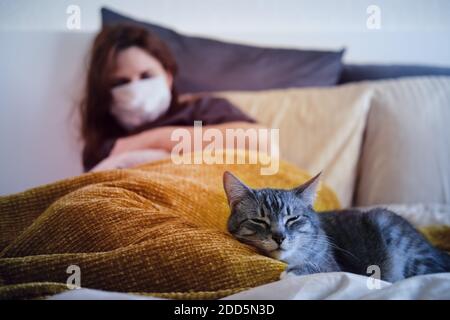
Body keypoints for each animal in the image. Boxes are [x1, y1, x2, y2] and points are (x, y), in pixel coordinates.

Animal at [222, 171, 450, 282]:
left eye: (293, 219)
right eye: (259, 220)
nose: (279, 236)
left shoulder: (333, 266)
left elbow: (319, 267)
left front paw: (294, 272)